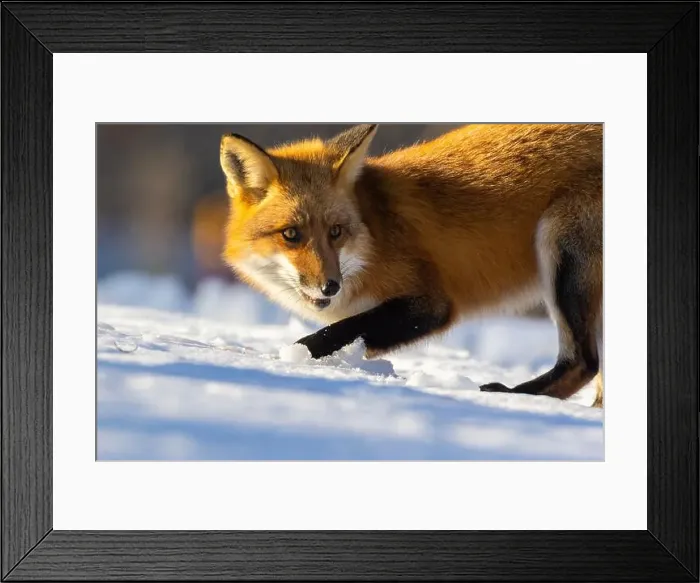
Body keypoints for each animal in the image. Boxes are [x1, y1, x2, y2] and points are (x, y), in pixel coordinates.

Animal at [219, 124, 604, 407]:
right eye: (291, 234)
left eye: (336, 232)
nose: (331, 286)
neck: (376, 233)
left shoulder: (429, 303)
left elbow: (332, 334)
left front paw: (287, 359)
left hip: (561, 254)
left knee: (583, 362)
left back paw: (511, 397)